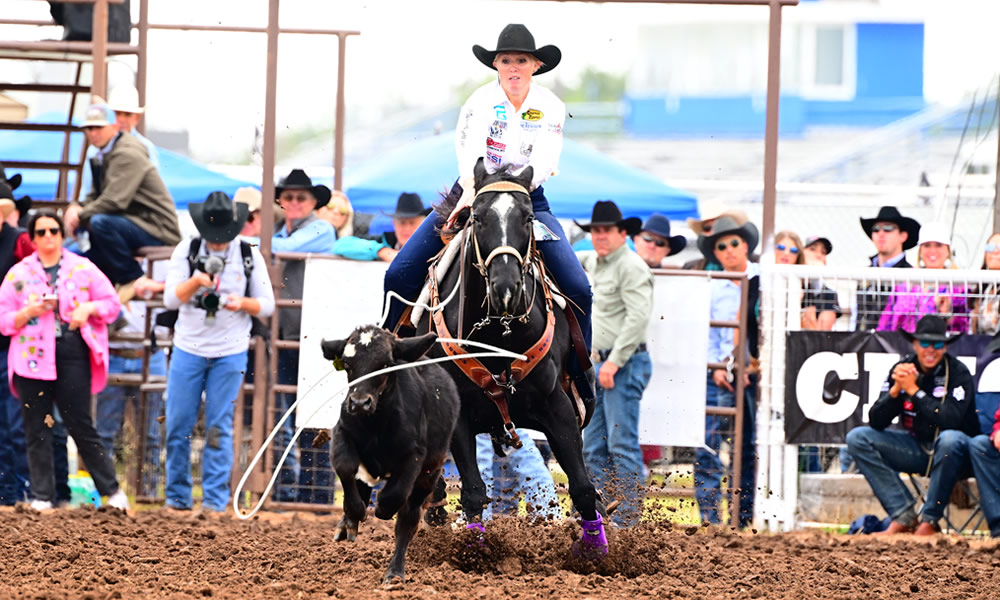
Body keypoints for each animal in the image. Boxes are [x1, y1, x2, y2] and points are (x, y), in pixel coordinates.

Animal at [320, 328, 460, 584]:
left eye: (385, 364)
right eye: (347, 363)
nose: (359, 403)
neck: (376, 423)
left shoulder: (414, 457)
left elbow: (394, 497)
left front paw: (382, 510)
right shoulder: (342, 433)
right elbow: (346, 468)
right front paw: (354, 513)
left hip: (430, 473)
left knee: (408, 519)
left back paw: (394, 572)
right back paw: (348, 524)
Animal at [416, 158, 608, 556]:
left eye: (527, 216)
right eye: (478, 217)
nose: (505, 288)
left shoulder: (558, 408)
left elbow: (582, 488)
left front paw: (596, 552)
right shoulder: (459, 420)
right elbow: (474, 492)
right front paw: (474, 551)